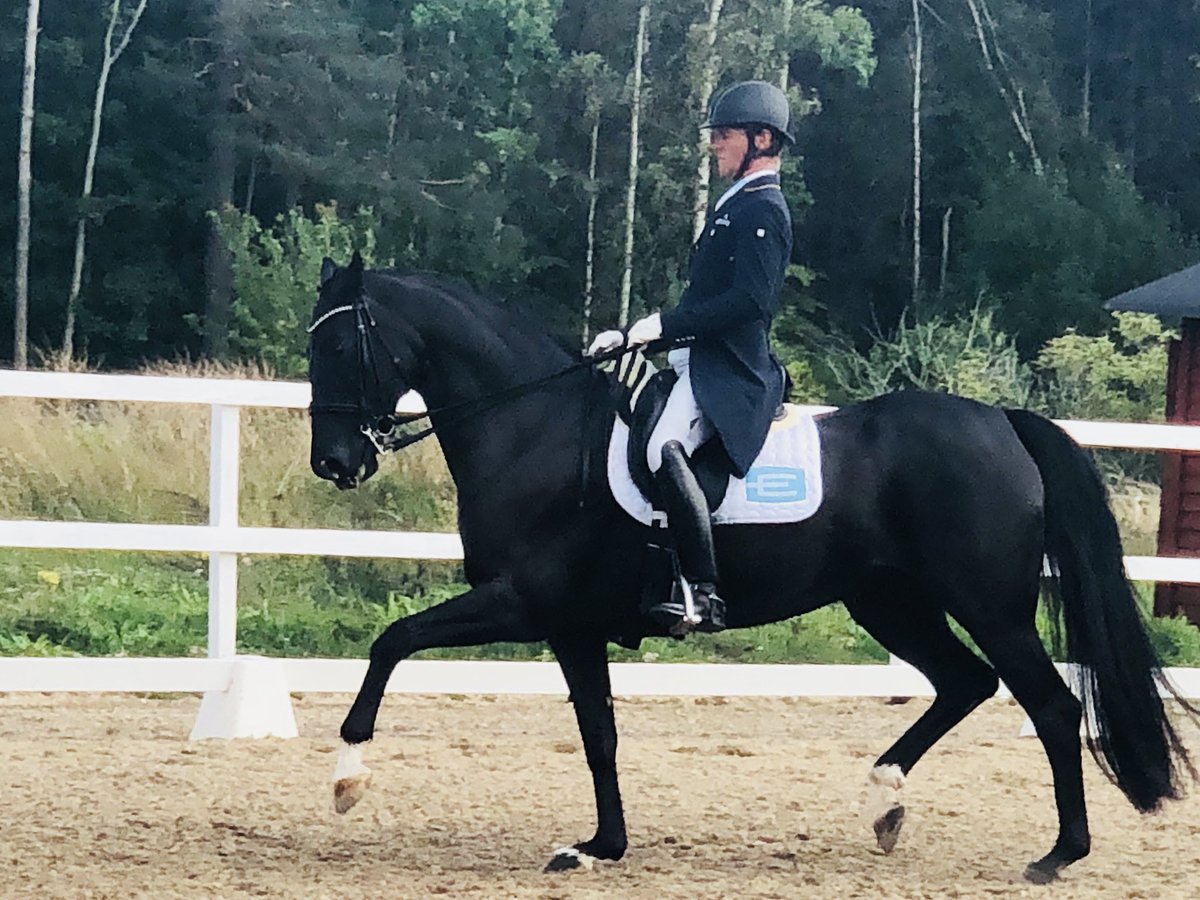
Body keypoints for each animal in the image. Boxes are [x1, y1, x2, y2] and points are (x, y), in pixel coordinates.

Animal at [306, 252, 1196, 883]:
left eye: (343, 343)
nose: (335, 463)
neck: (534, 427)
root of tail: (1003, 423)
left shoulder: (523, 603)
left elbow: (391, 642)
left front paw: (347, 780)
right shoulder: (571, 627)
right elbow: (599, 734)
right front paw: (600, 845)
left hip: (989, 604)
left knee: (1049, 704)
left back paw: (1058, 854)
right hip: (890, 601)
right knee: (965, 683)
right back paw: (883, 801)